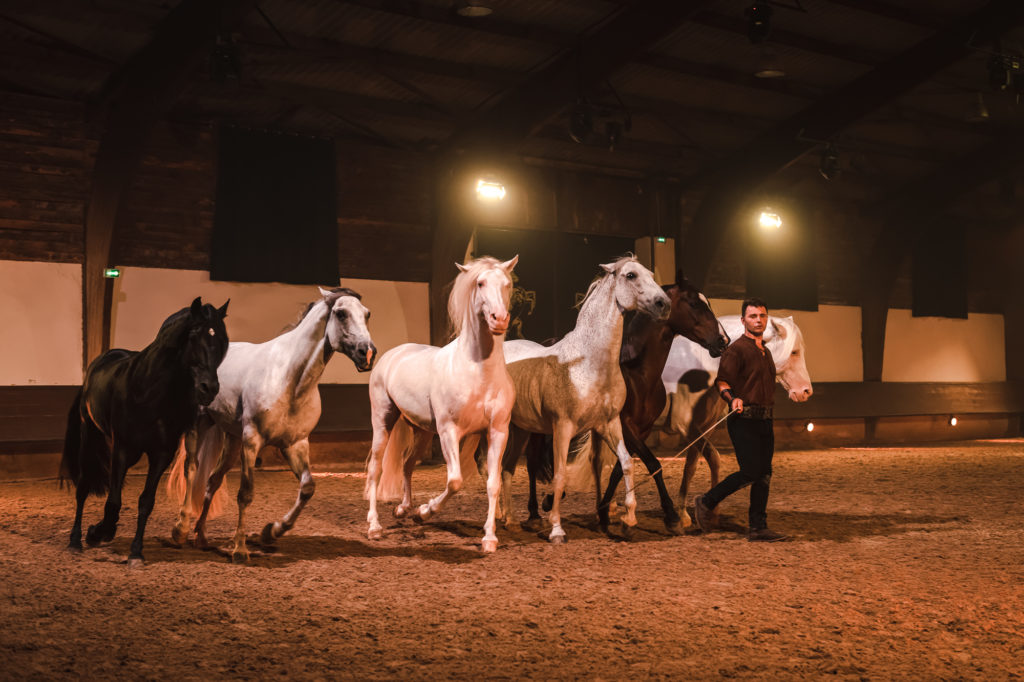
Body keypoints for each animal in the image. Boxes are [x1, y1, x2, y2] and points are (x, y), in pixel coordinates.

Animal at [60, 296, 229, 561]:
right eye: (194, 335)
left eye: (222, 341)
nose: (209, 388)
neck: (149, 390)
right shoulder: (122, 449)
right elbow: (113, 502)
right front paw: (97, 533)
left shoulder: (161, 455)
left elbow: (146, 502)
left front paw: (136, 552)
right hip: (90, 436)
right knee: (83, 487)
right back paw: (75, 540)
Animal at [167, 284, 376, 557]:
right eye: (341, 314)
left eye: (367, 314)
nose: (368, 353)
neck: (289, 379)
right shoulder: (252, 441)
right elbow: (246, 494)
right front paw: (240, 548)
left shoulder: (295, 444)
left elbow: (307, 488)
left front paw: (271, 532)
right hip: (199, 425)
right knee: (191, 469)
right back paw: (180, 531)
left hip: (232, 440)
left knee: (213, 480)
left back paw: (201, 537)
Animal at [362, 254, 520, 552]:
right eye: (480, 283)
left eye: (507, 284)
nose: (499, 319)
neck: (478, 372)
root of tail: (393, 354)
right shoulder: (449, 431)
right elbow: (455, 481)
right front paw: (425, 512)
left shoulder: (497, 432)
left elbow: (492, 483)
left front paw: (489, 538)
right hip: (382, 421)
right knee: (376, 468)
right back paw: (375, 526)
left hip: (423, 431)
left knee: (407, 464)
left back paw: (403, 509)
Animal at [497, 254, 671, 540]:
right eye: (631, 275)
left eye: (650, 274)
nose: (663, 304)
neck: (588, 363)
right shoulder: (563, 428)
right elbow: (559, 476)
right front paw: (557, 529)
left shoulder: (610, 424)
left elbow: (626, 463)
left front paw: (628, 520)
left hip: (521, 429)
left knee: (507, 468)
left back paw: (510, 520)